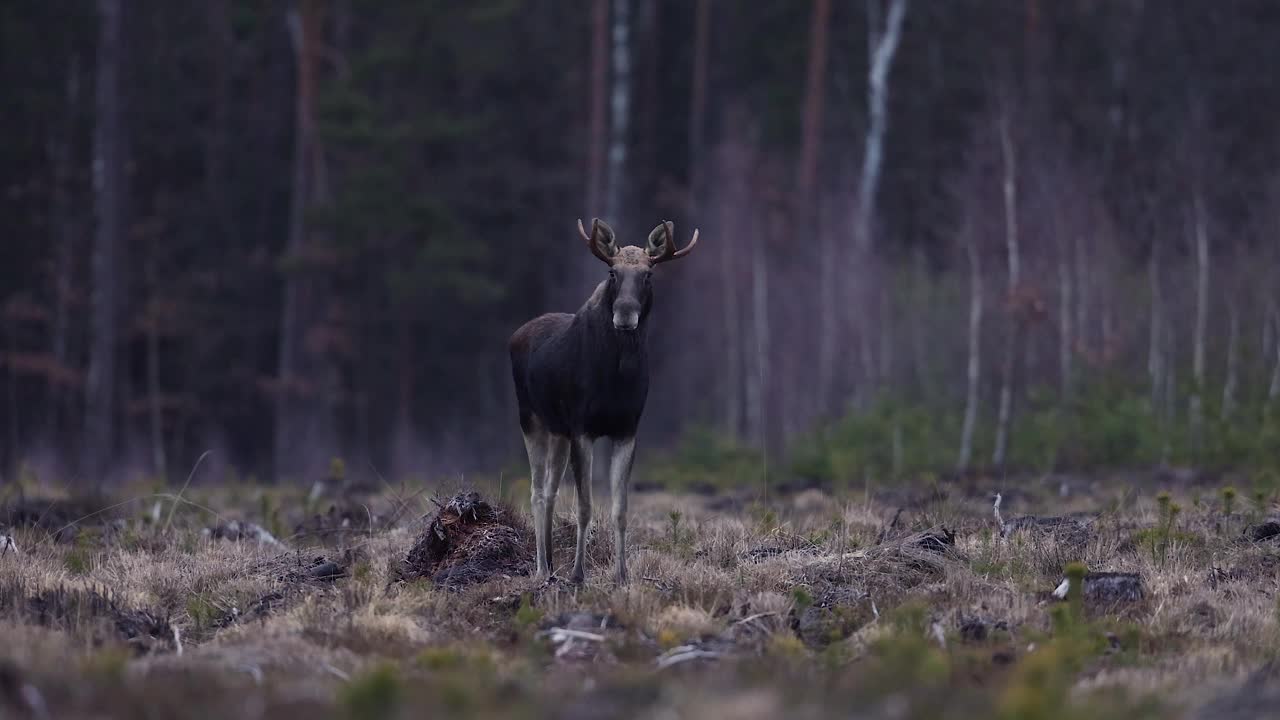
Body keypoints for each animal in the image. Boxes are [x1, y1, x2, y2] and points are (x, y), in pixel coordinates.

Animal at [509, 217, 701, 584]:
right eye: (612, 272)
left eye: (648, 274)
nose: (625, 314)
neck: (617, 375)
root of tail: (516, 334)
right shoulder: (583, 428)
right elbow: (584, 507)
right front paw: (578, 573)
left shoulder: (626, 429)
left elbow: (621, 509)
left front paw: (622, 574)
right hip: (530, 419)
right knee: (537, 491)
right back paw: (542, 568)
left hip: (558, 430)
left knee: (550, 491)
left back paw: (551, 561)